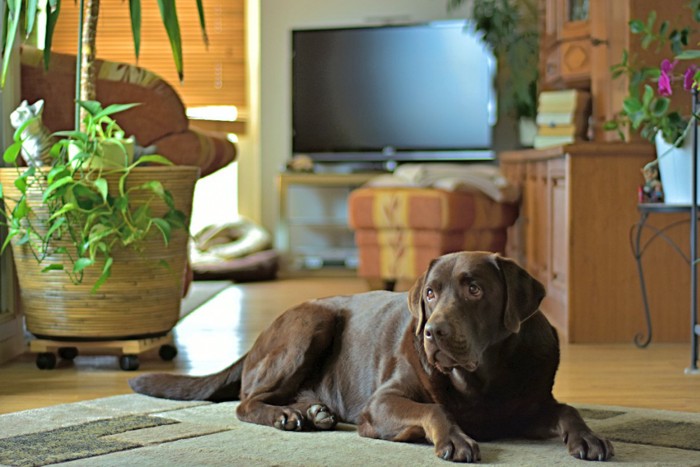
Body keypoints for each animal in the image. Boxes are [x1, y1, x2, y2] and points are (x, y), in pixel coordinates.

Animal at [130, 250, 612, 462]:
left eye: (475, 289)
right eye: (431, 293)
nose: (432, 332)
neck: (480, 380)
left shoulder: (532, 404)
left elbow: (567, 409)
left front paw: (588, 437)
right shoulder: (382, 402)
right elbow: (435, 409)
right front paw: (454, 438)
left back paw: (314, 411)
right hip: (313, 322)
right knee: (246, 401)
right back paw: (288, 416)